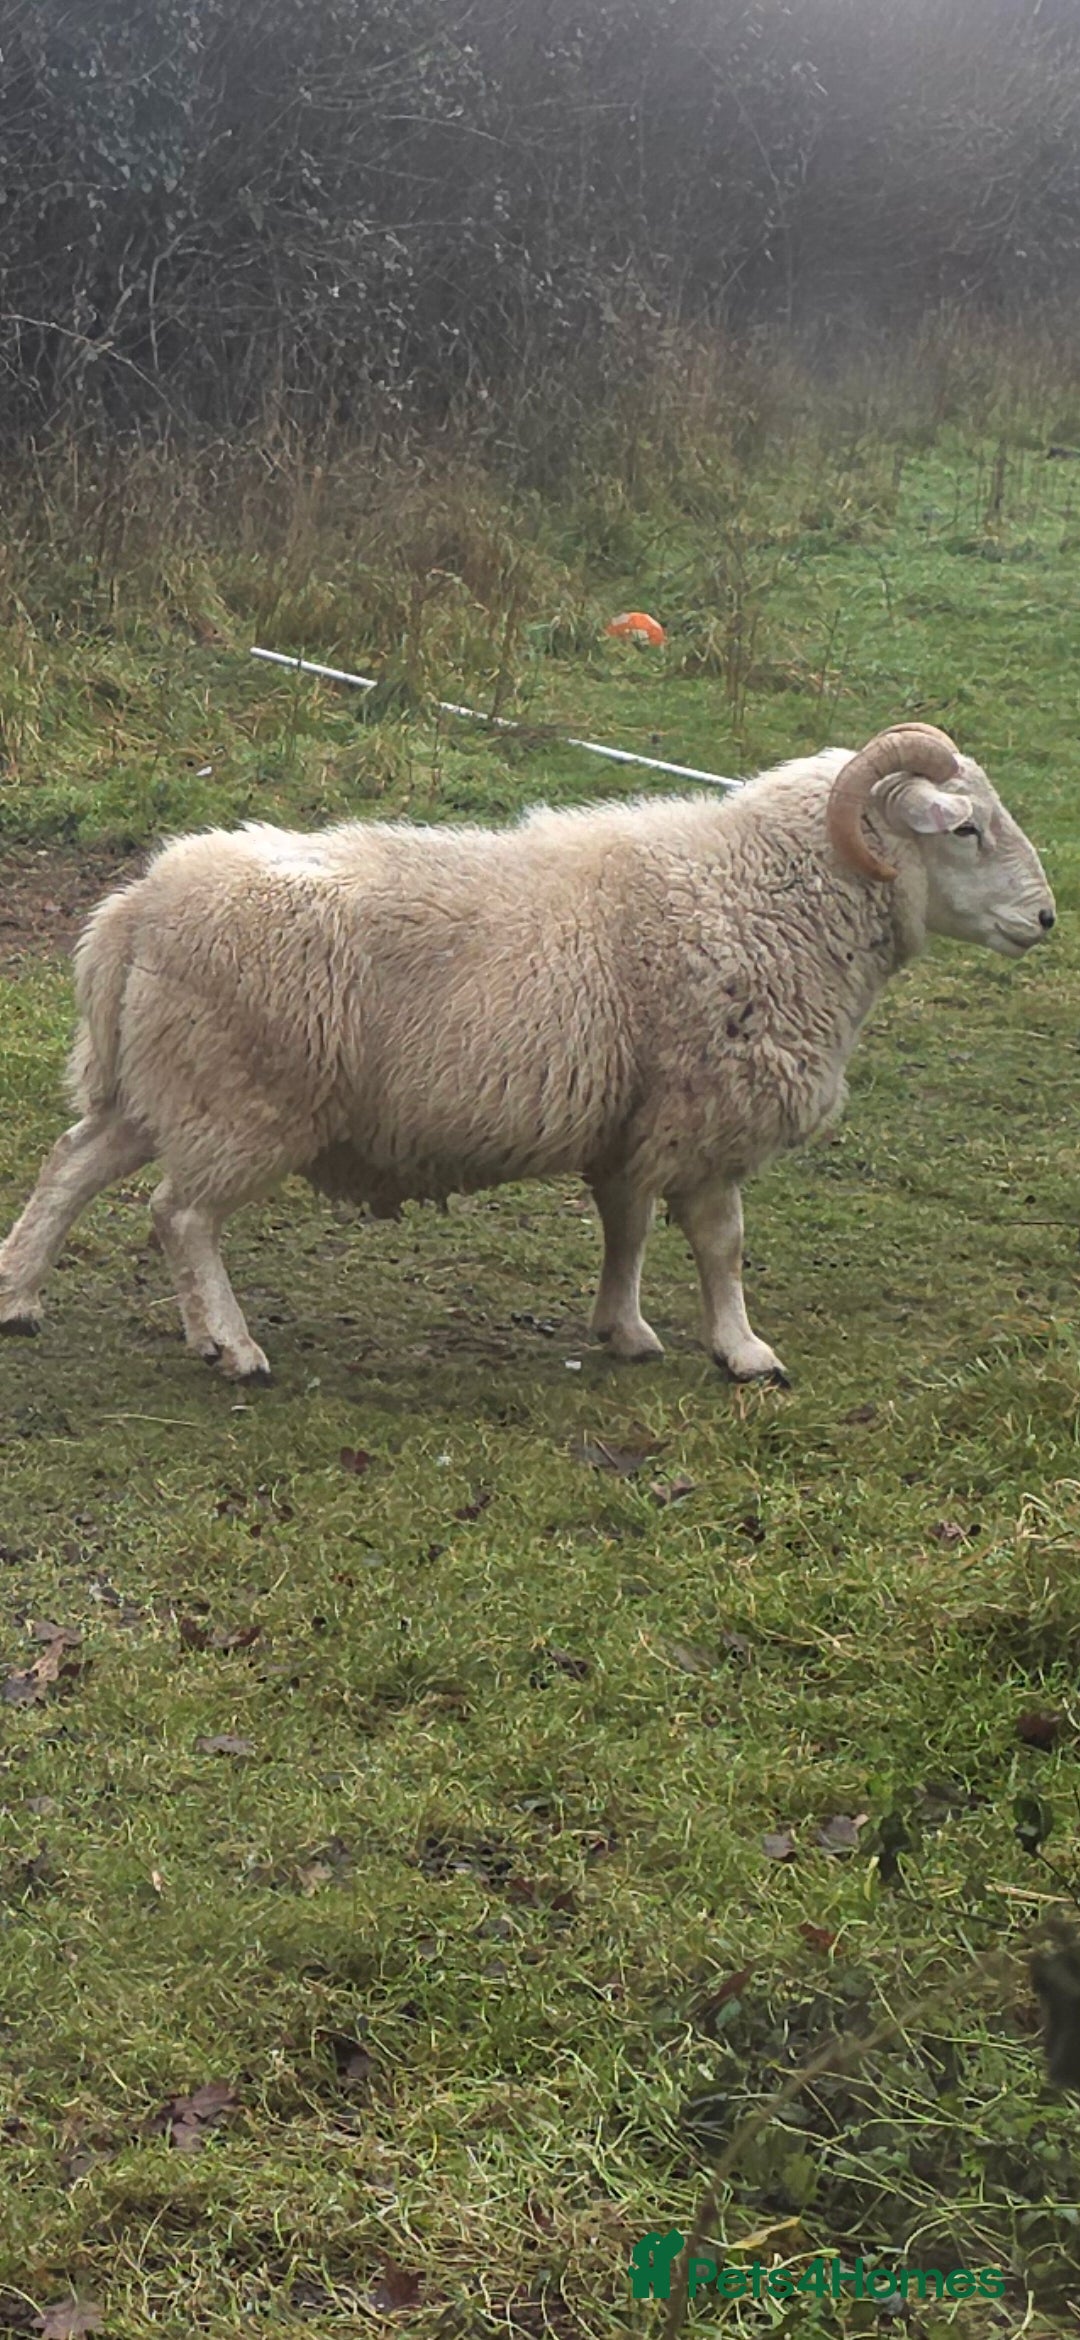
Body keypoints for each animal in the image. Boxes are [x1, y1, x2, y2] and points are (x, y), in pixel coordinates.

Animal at [0, 723, 1055, 1384]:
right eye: (965, 828)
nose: (1046, 920)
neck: (763, 892)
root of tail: (137, 906)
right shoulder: (703, 1111)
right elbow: (721, 1242)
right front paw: (744, 1352)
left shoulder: (632, 1119)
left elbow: (626, 1230)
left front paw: (624, 1330)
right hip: (243, 1097)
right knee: (180, 1217)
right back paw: (229, 1346)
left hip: (164, 1084)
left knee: (71, 1166)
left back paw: (19, 1296)